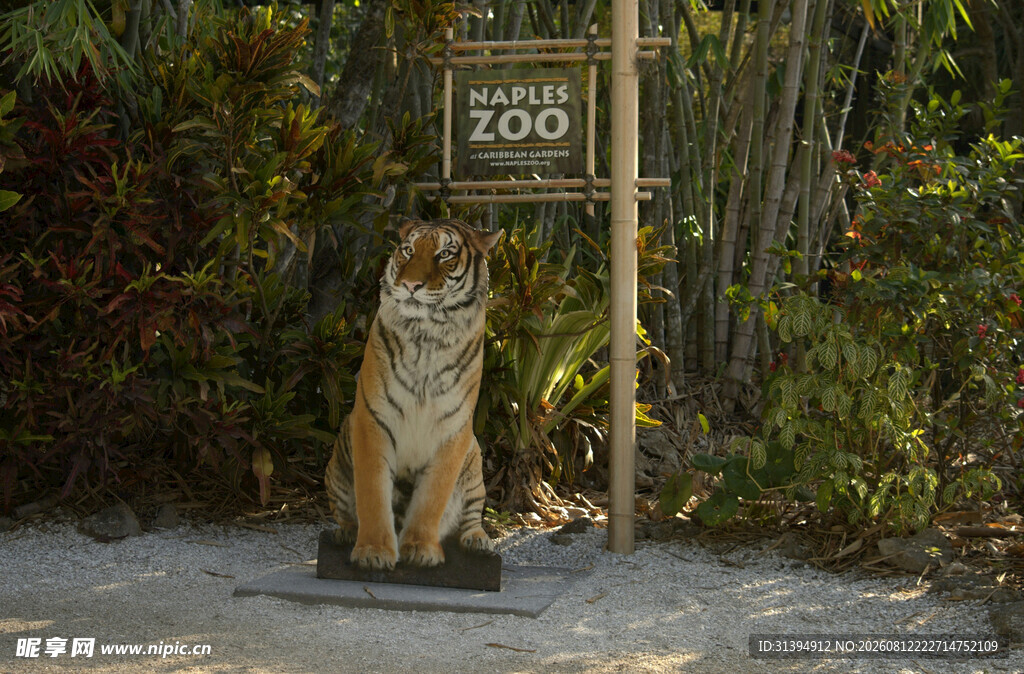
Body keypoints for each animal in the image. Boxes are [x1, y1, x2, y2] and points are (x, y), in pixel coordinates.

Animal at [324, 218, 501, 570]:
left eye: (445, 253)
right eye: (407, 250)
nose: (409, 285)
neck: (427, 334)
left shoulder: (453, 429)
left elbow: (433, 496)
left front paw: (420, 548)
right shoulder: (373, 419)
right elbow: (372, 492)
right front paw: (373, 551)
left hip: (474, 465)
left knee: (472, 516)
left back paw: (479, 542)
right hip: (336, 463)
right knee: (344, 512)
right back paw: (346, 533)